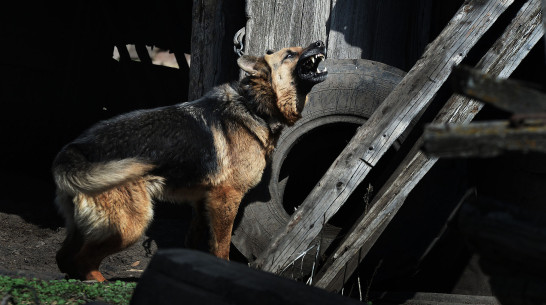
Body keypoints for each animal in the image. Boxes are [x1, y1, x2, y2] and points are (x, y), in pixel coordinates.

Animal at [53, 40, 328, 280]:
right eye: (290, 54)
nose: (320, 43)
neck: (253, 105)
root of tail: (76, 149)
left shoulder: (202, 201)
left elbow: (194, 240)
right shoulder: (226, 198)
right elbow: (221, 245)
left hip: (84, 227)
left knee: (64, 258)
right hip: (131, 224)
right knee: (83, 260)